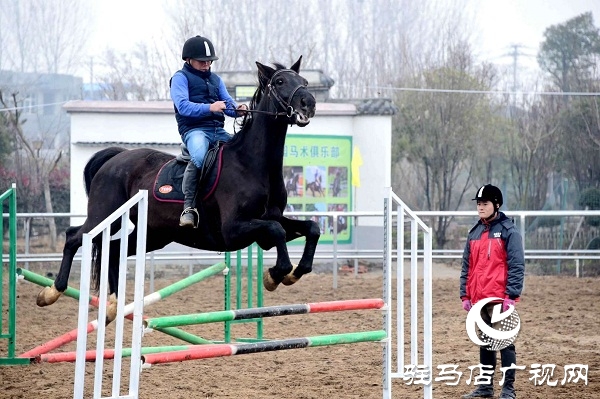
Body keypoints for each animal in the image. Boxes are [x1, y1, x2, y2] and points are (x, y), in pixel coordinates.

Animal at [37, 56, 318, 322]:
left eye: (304, 81)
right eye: (280, 82)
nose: (309, 103)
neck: (251, 164)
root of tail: (114, 159)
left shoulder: (269, 221)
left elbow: (309, 228)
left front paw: (293, 272)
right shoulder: (234, 230)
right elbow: (277, 231)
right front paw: (275, 275)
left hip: (152, 235)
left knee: (114, 251)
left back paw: (113, 306)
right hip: (104, 217)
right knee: (74, 236)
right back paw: (50, 292)